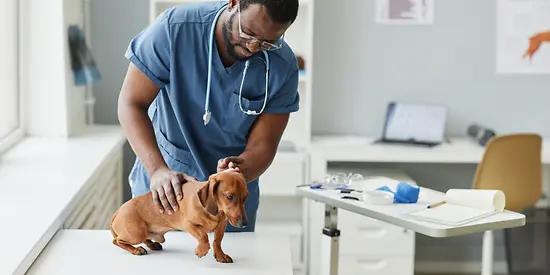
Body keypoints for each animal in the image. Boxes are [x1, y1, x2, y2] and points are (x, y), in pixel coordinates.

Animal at [109, 168, 250, 264]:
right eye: (229, 197)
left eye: (245, 197)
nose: (244, 224)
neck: (213, 212)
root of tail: (117, 212)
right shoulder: (187, 224)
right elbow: (203, 236)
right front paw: (202, 250)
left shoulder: (221, 226)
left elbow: (217, 241)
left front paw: (220, 255)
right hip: (137, 233)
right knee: (117, 241)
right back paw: (136, 250)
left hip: (142, 233)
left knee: (144, 239)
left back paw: (152, 245)